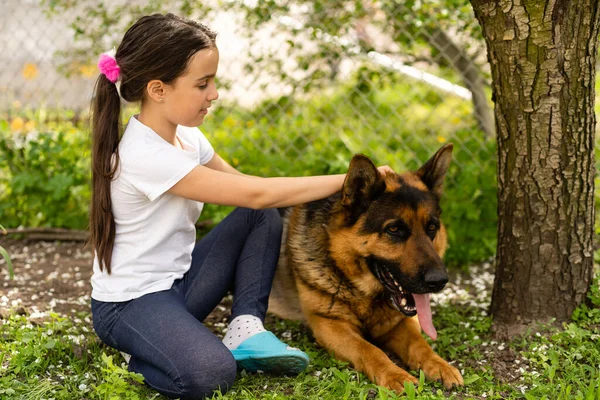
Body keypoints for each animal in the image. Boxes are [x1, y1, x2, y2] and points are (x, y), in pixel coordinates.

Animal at [270, 144, 464, 390]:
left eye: (432, 227)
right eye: (394, 229)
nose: (439, 281)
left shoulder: (400, 323)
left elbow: (420, 344)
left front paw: (439, 364)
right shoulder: (330, 325)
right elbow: (369, 349)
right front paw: (395, 375)